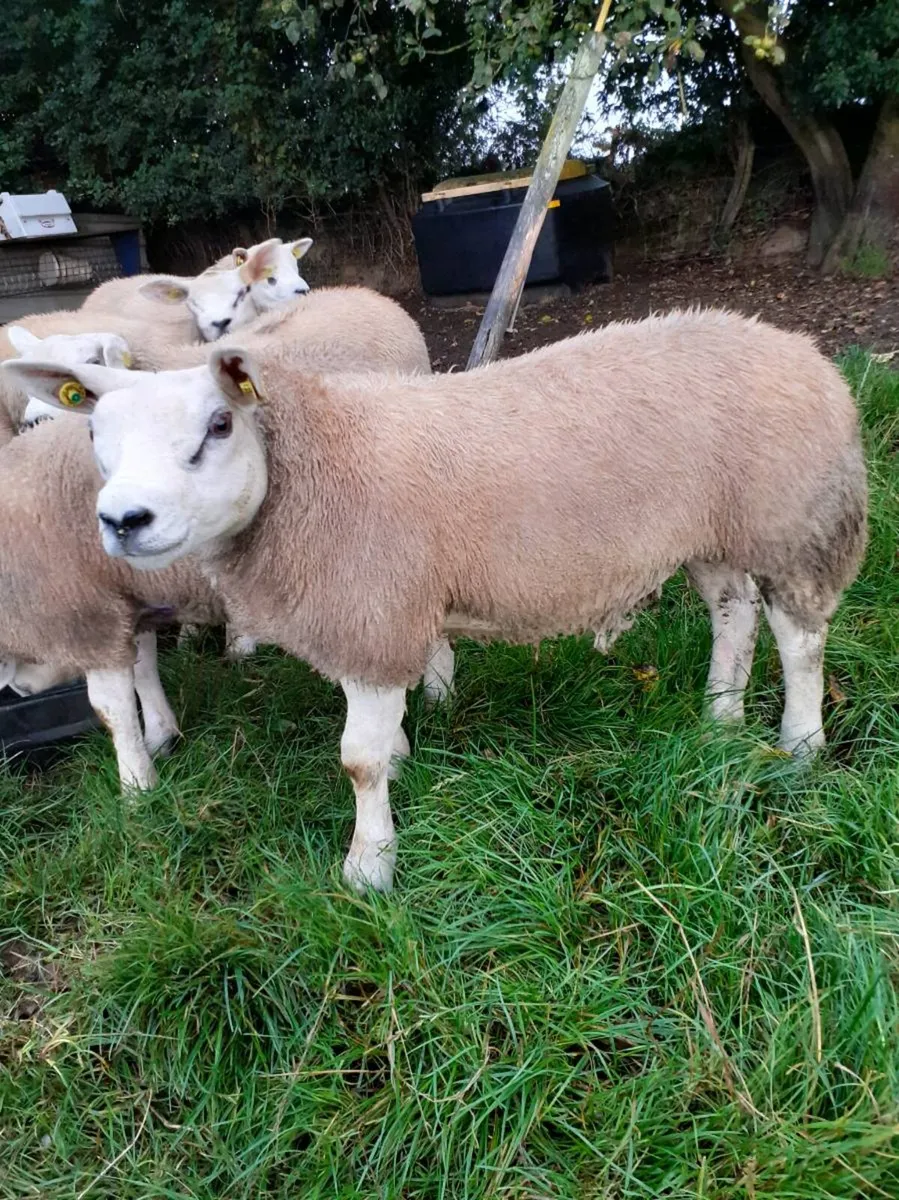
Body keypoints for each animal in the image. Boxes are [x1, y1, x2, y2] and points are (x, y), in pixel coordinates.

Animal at [8, 308, 868, 893]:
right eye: (95, 435)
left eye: (219, 424)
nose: (123, 520)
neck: (317, 462)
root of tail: (802, 349)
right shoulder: (379, 615)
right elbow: (378, 737)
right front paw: (400, 763)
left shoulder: (371, 613)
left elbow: (354, 761)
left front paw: (368, 868)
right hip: (714, 531)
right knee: (732, 613)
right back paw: (719, 717)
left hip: (795, 521)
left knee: (797, 636)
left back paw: (798, 743)